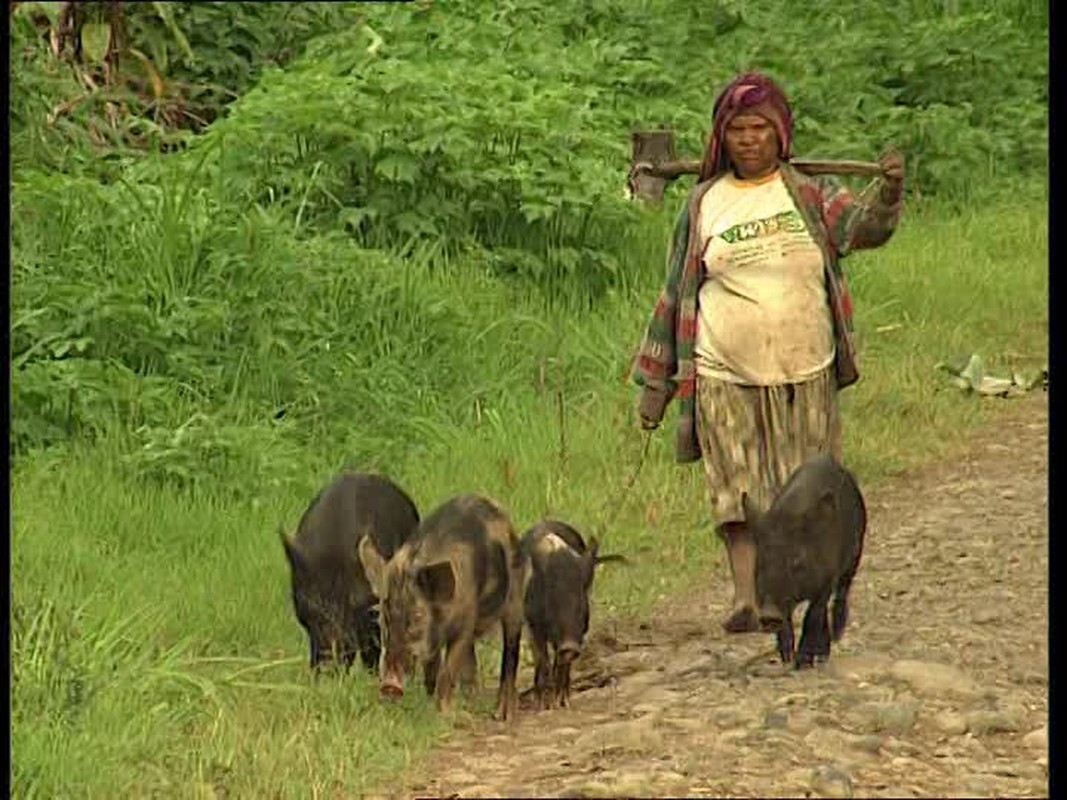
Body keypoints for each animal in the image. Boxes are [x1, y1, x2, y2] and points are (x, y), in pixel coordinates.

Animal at [358, 492, 524, 725]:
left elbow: (448, 671)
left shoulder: (466, 624)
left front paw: (446, 715)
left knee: (510, 650)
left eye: (417, 615)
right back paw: (472, 700)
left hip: (515, 596)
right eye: (385, 616)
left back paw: (502, 714)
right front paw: (431, 706)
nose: (389, 685)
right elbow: (432, 668)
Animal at [518, 522, 623, 712]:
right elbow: (542, 660)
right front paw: (541, 707)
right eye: (551, 604)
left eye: (581, 607)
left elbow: (563, 665)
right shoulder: (534, 625)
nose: (570, 646)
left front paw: (562, 703)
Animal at [742, 454, 866, 674]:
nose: (769, 614)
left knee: (841, 593)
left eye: (797, 561)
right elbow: (790, 621)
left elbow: (812, 617)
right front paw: (787, 658)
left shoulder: (826, 580)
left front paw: (803, 663)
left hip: (856, 551)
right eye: (761, 562)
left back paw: (836, 637)